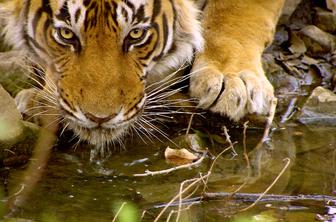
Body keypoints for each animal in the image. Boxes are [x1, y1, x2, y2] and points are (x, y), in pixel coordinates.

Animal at [0, 0, 284, 147]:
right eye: (66, 33)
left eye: (136, 34)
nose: (98, 117)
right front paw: (40, 102)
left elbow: (240, 10)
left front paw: (233, 80)